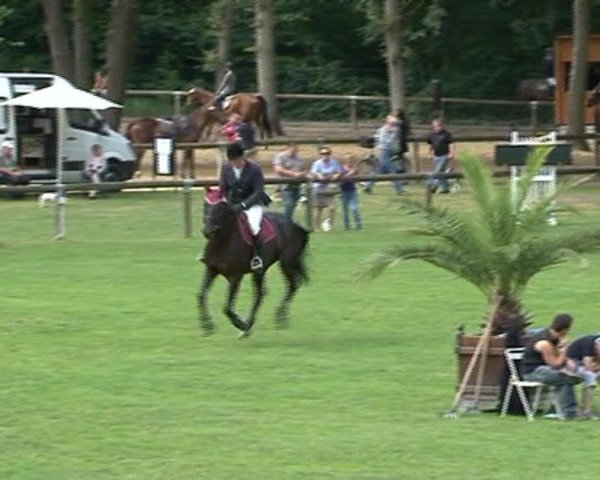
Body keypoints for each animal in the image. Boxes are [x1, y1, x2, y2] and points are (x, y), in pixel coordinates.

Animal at [199, 192, 310, 338]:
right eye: (205, 205)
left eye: (220, 207)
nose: (208, 230)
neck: (222, 241)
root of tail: (294, 224)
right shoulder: (211, 270)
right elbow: (201, 295)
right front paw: (207, 326)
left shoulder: (235, 277)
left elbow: (227, 308)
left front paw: (240, 324)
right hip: (261, 270)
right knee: (260, 294)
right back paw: (251, 324)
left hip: (287, 263)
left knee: (292, 285)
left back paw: (276, 318)